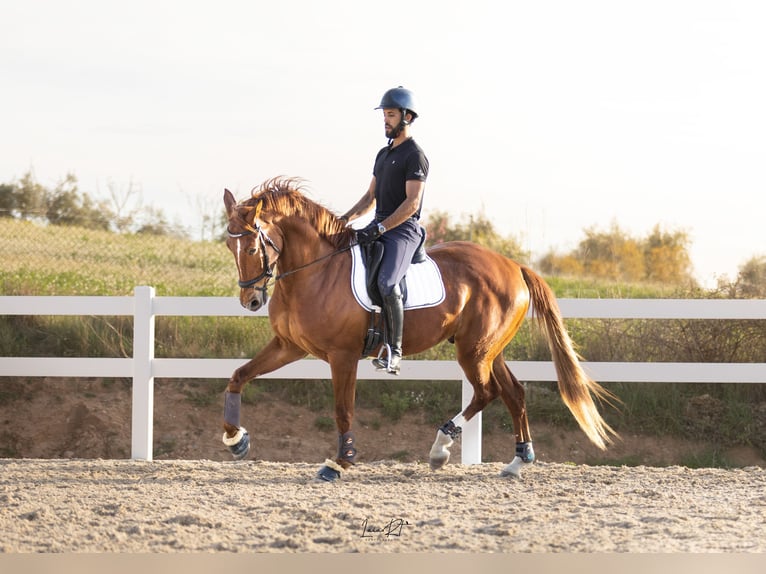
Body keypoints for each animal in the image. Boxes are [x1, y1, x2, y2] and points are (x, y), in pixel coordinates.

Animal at [220, 179, 616, 482]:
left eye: (252, 247)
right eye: (228, 245)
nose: (250, 300)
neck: (315, 271)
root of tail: (514, 265)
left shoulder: (342, 356)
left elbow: (343, 409)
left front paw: (340, 463)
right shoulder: (288, 346)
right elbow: (239, 375)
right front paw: (236, 440)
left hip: (473, 352)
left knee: (486, 392)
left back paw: (440, 449)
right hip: (490, 350)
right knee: (514, 393)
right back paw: (517, 462)